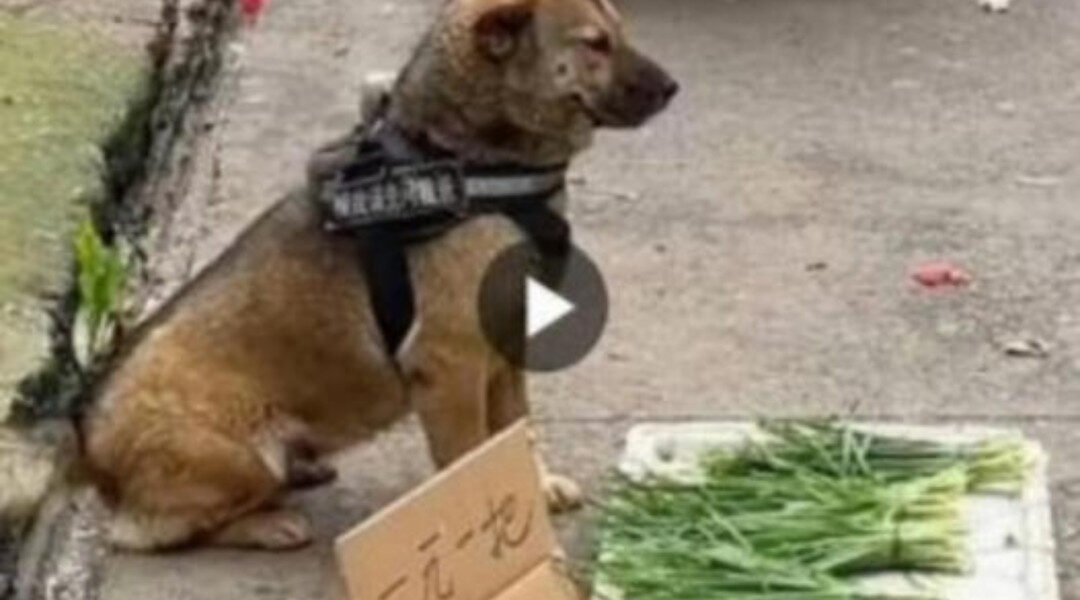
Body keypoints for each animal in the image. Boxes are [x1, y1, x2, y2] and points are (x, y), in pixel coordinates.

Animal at [84, 0, 673, 550]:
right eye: (594, 43)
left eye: (620, 32)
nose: (673, 88)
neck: (471, 164)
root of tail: (89, 445)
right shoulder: (450, 368)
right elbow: (469, 454)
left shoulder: (506, 347)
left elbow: (517, 426)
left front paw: (536, 483)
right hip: (238, 456)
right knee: (153, 531)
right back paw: (268, 523)